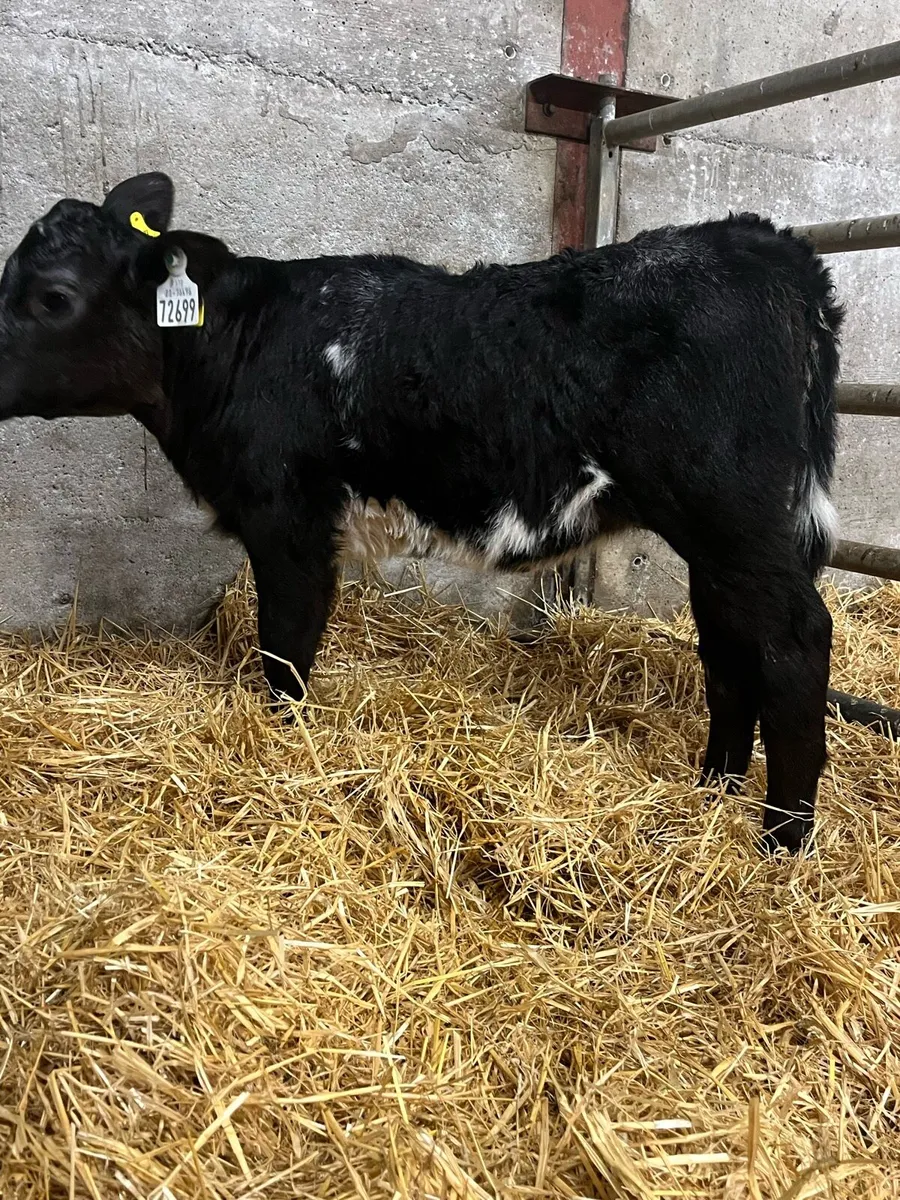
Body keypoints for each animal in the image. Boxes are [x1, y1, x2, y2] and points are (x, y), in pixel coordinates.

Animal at [0, 173, 842, 853]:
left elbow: (286, 645)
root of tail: (765, 240)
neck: (239, 347)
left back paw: (782, 840)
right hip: (721, 538)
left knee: (794, 640)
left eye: (54, 296)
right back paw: (714, 791)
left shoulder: (289, 519)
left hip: (732, 520)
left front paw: (284, 744)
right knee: (729, 649)